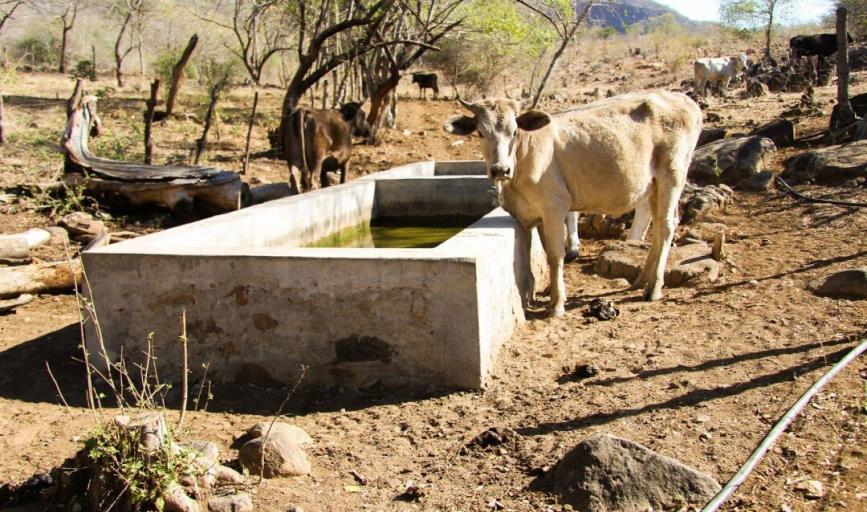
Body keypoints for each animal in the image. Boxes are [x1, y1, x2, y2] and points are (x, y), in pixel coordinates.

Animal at [448, 92, 704, 316]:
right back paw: (642, 281)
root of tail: (683, 98)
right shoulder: (537, 215)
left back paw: (654, 288)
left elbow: (555, 255)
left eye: (514, 131)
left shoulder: (554, 207)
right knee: (659, 225)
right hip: (653, 185)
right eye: (481, 133)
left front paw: (557, 304)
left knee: (667, 225)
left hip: (672, 174)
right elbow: (544, 254)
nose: (500, 169)